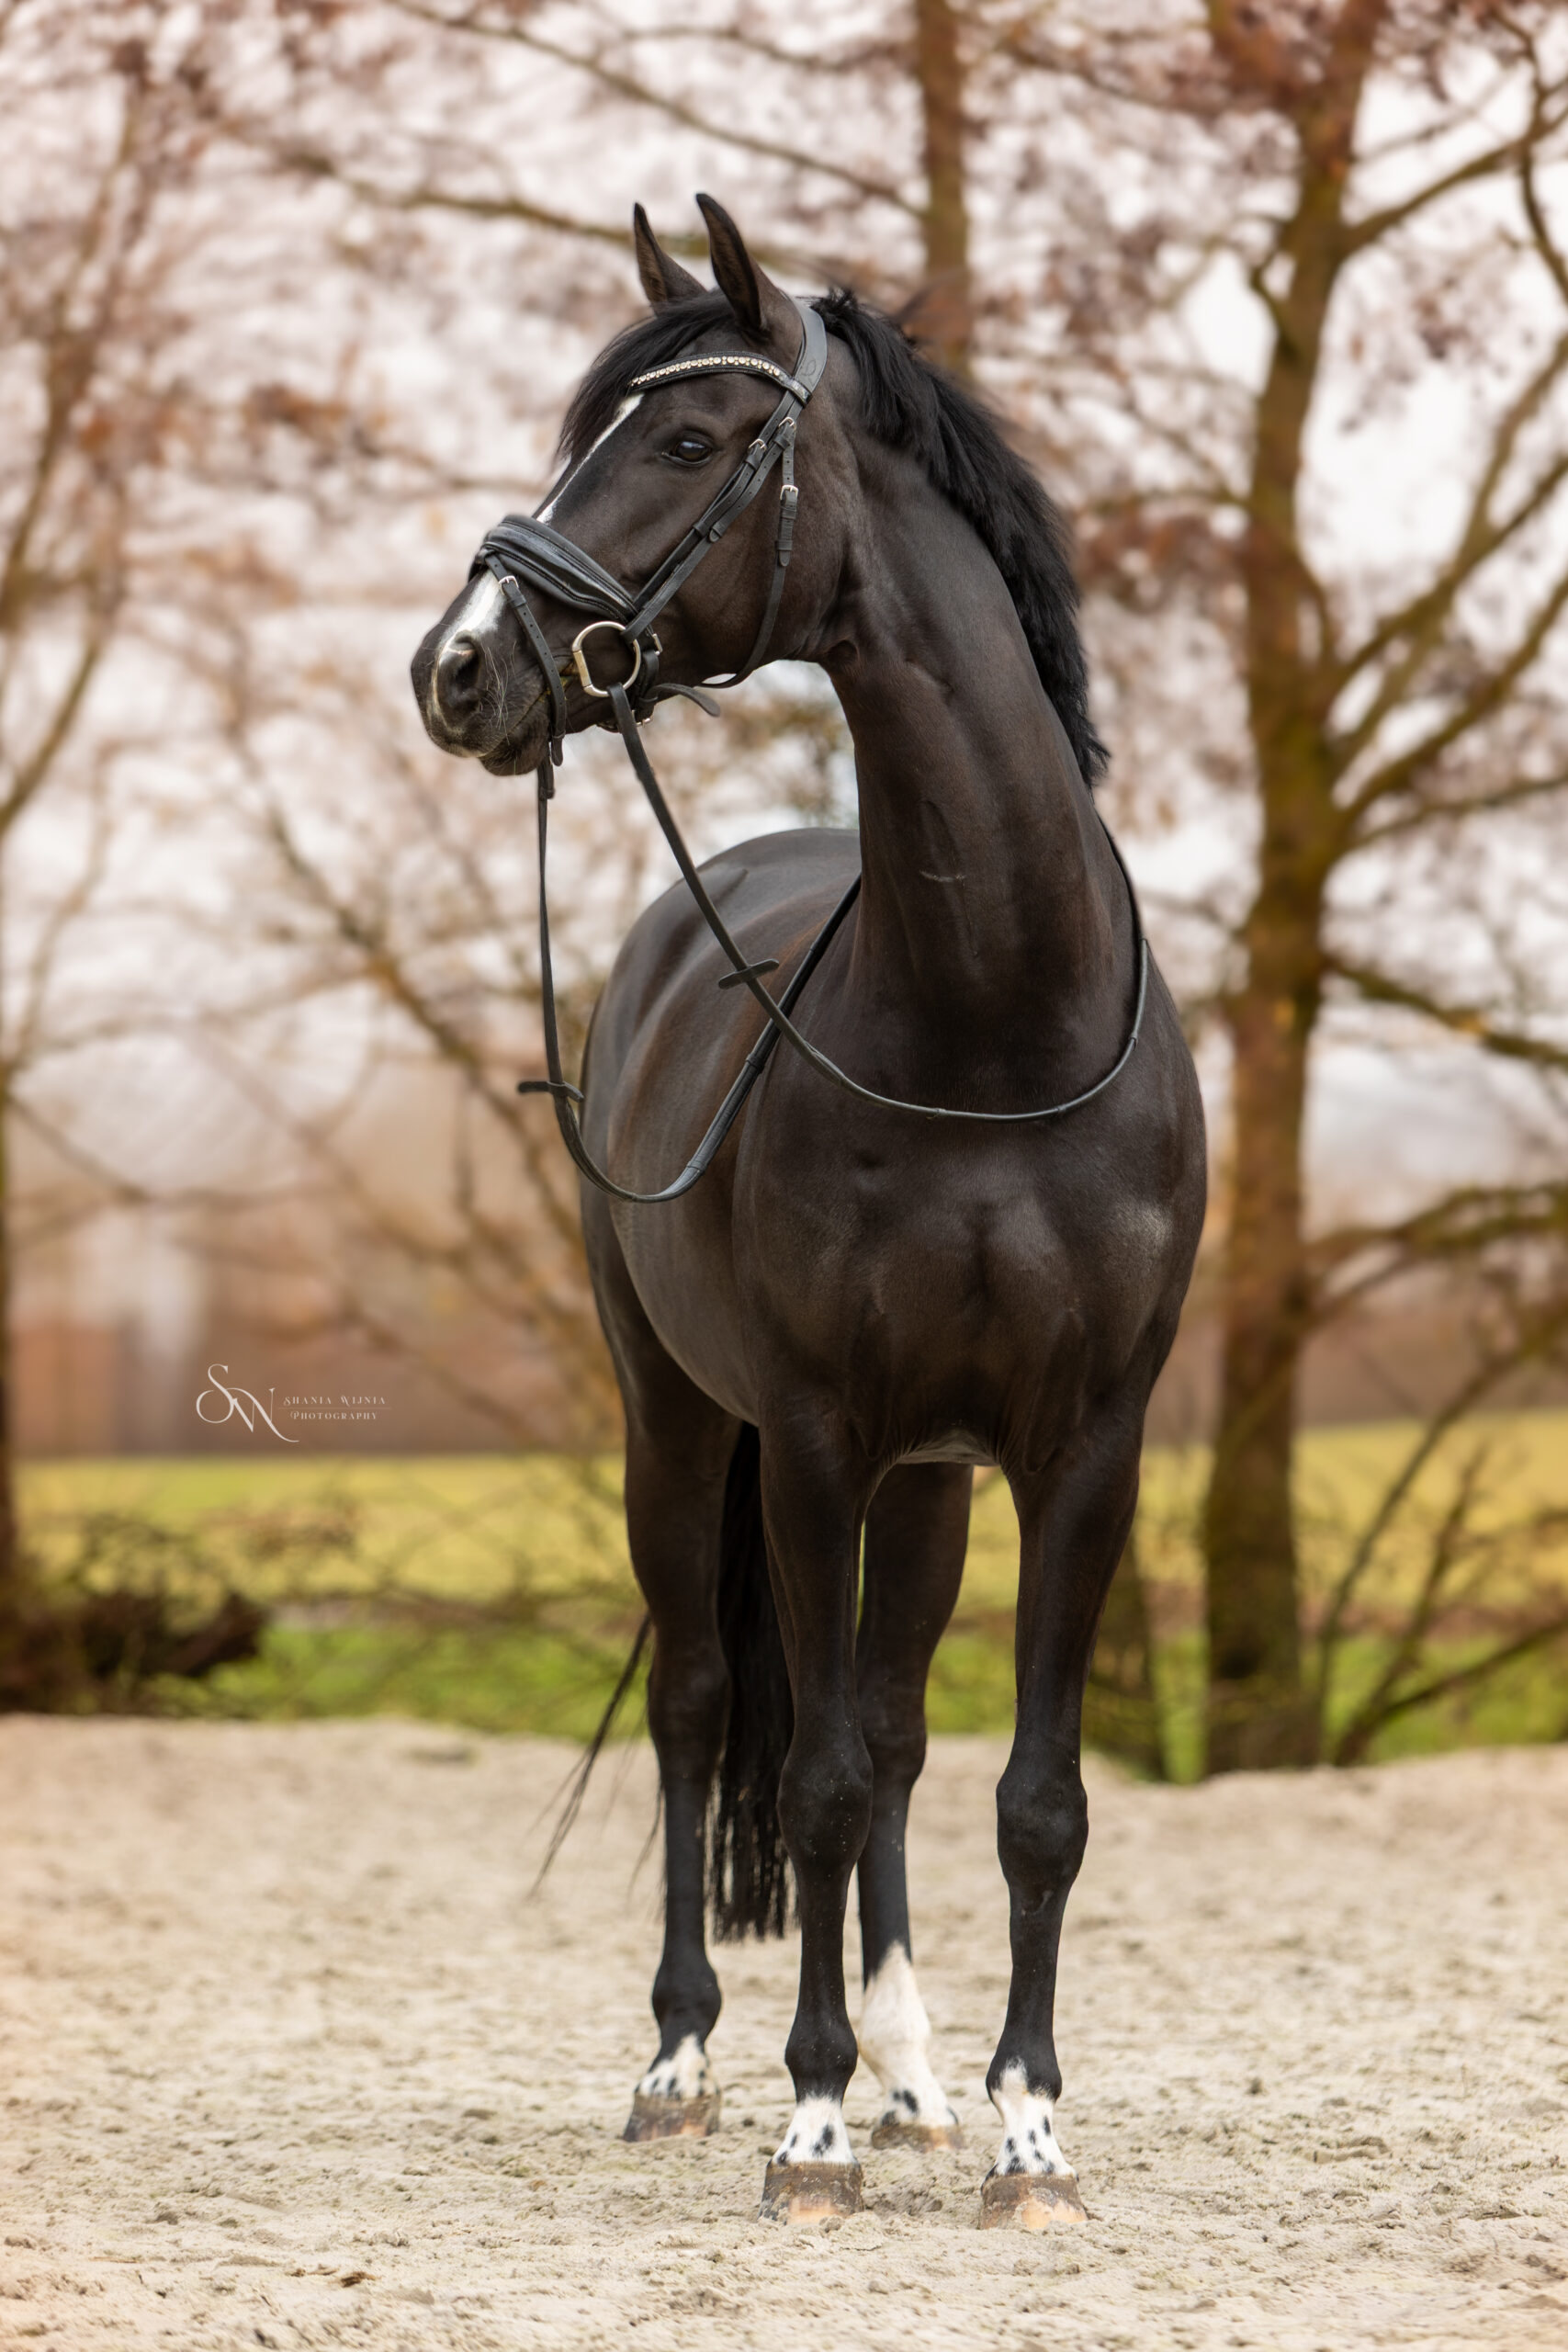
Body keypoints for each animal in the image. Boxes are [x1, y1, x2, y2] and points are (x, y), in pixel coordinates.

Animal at [412, 196, 1205, 2230]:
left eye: (688, 441)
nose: (457, 669)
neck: (992, 1028)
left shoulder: (1074, 1448)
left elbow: (1025, 1796)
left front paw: (1018, 2127)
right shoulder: (817, 1434)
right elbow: (819, 1775)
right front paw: (811, 2122)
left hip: (925, 1481)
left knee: (902, 1732)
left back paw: (918, 2075)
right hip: (684, 1428)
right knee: (706, 1711)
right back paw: (689, 2061)